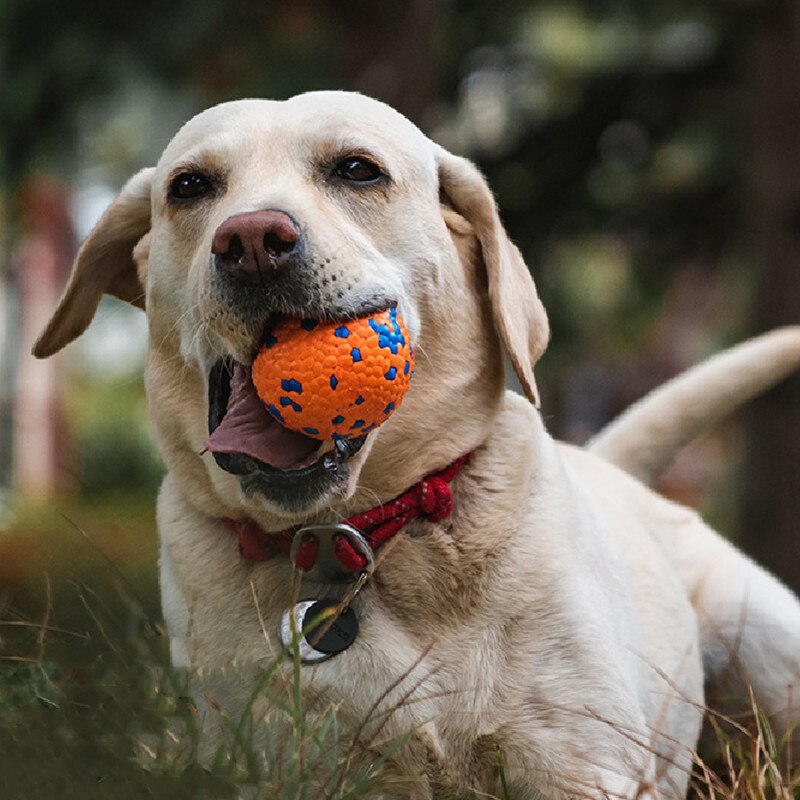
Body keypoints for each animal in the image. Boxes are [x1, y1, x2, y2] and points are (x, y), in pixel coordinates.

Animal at [31, 92, 800, 792]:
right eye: (190, 186)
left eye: (357, 170)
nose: (249, 241)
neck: (352, 535)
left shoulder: (577, 760)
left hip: (771, 653)